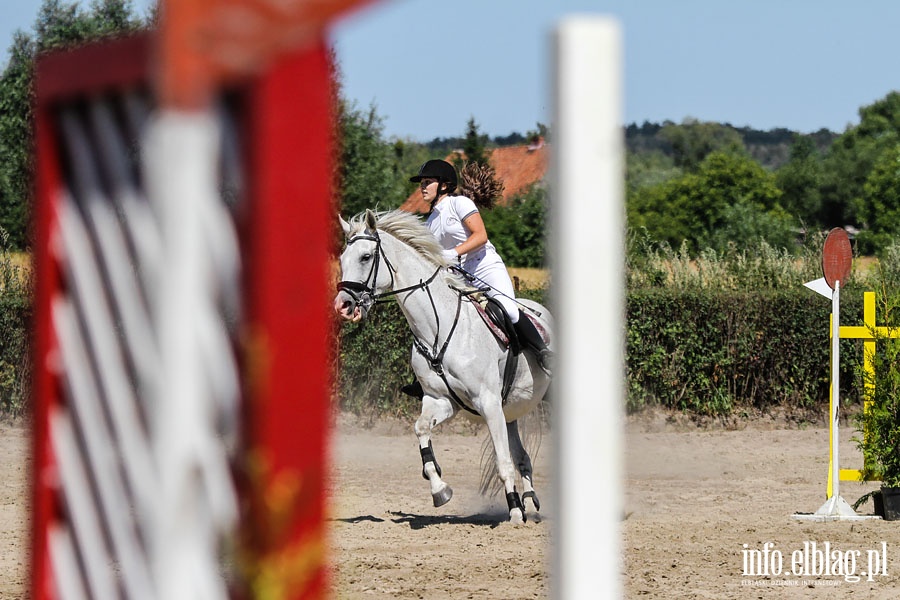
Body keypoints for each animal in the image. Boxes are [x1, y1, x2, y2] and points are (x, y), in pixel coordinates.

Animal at [334, 209, 552, 524]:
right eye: (341, 259)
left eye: (365, 257)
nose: (342, 305)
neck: (438, 328)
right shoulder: (442, 400)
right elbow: (421, 429)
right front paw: (439, 489)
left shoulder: (487, 402)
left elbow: (502, 461)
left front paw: (512, 513)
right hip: (510, 410)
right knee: (521, 455)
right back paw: (530, 504)